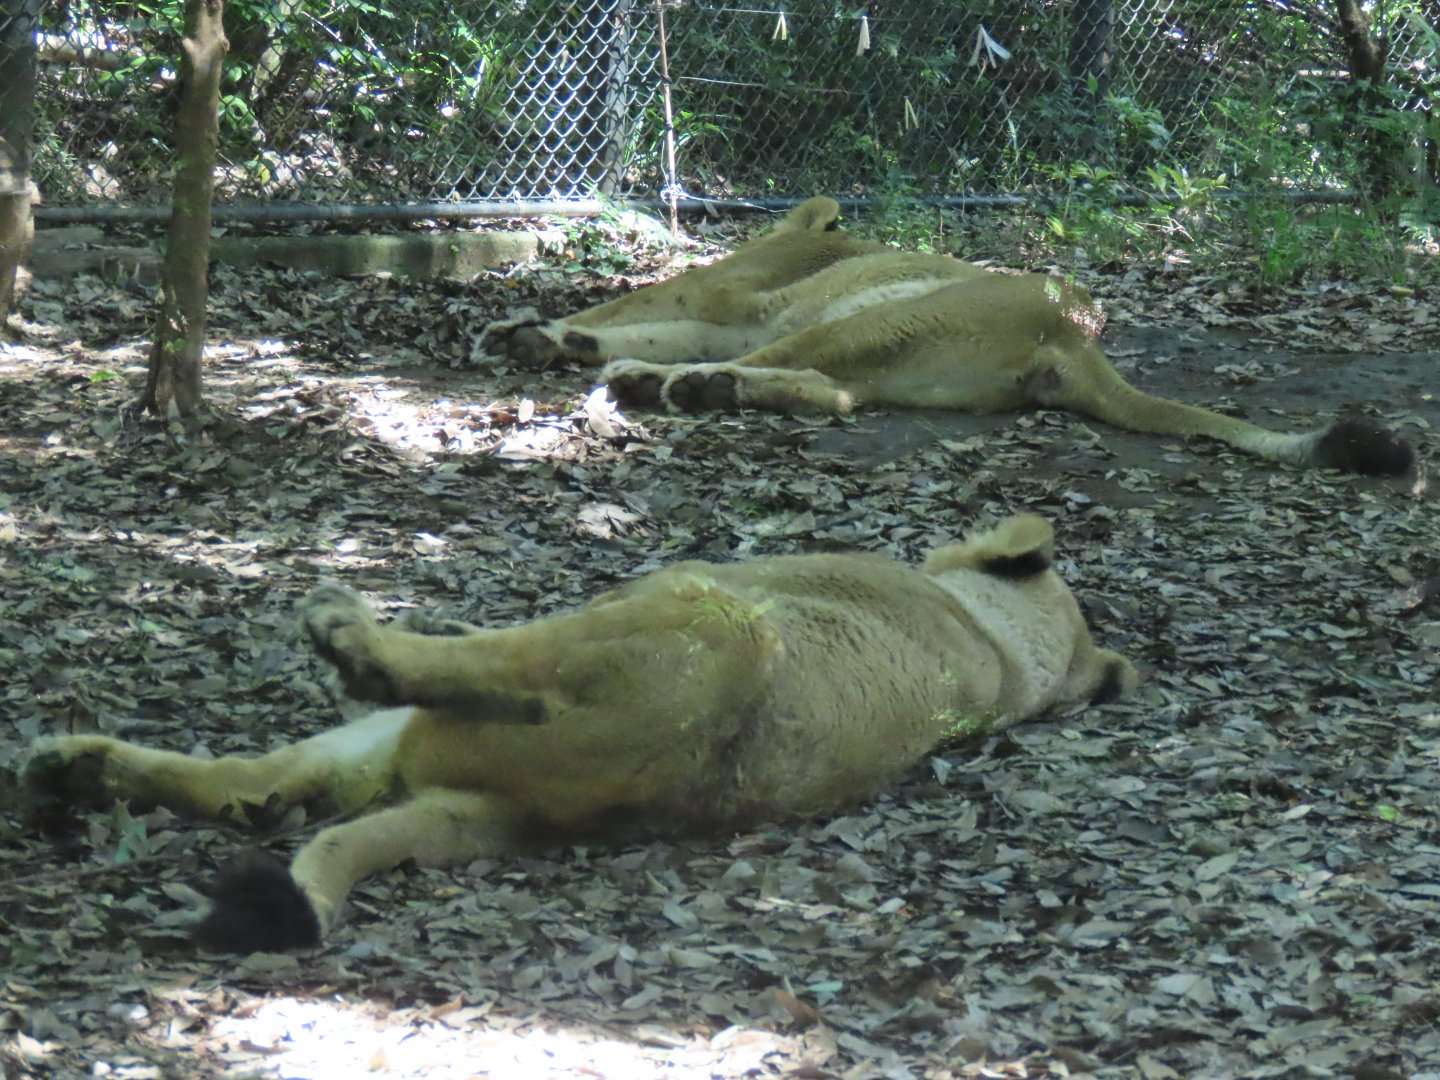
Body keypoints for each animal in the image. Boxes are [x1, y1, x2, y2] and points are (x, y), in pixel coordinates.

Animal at [25, 514, 1134, 953]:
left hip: (688, 616)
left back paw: (350, 632)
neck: (1007, 650)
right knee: (251, 787)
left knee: (463, 667)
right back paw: (72, 772)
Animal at [477, 196, 1411, 476]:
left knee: (792, 374)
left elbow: (627, 307)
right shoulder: (726, 309)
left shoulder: (722, 290)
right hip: (889, 355)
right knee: (836, 395)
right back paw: (702, 387)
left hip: (873, 318)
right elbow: (644, 323)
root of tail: (1079, 338)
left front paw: (530, 333)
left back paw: (657, 385)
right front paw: (546, 340)